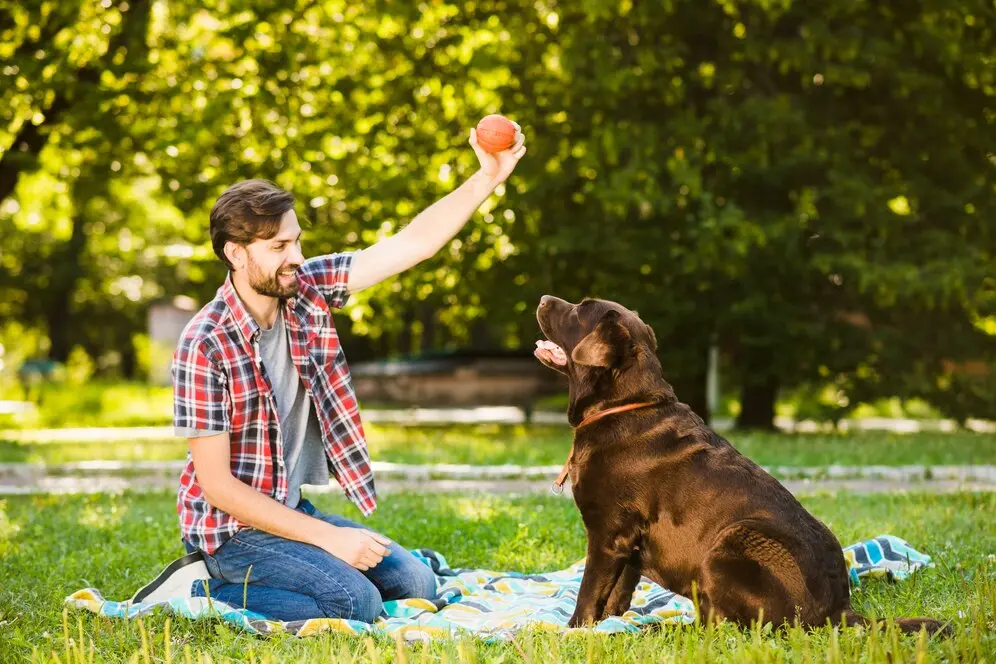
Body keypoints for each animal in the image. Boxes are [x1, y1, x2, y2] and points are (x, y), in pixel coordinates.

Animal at [532, 294, 944, 632]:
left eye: (581, 308)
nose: (543, 298)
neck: (624, 404)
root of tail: (838, 610)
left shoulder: (607, 534)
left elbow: (590, 591)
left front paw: (574, 631)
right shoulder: (628, 543)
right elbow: (618, 591)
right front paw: (612, 623)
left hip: (731, 542)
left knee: (724, 627)